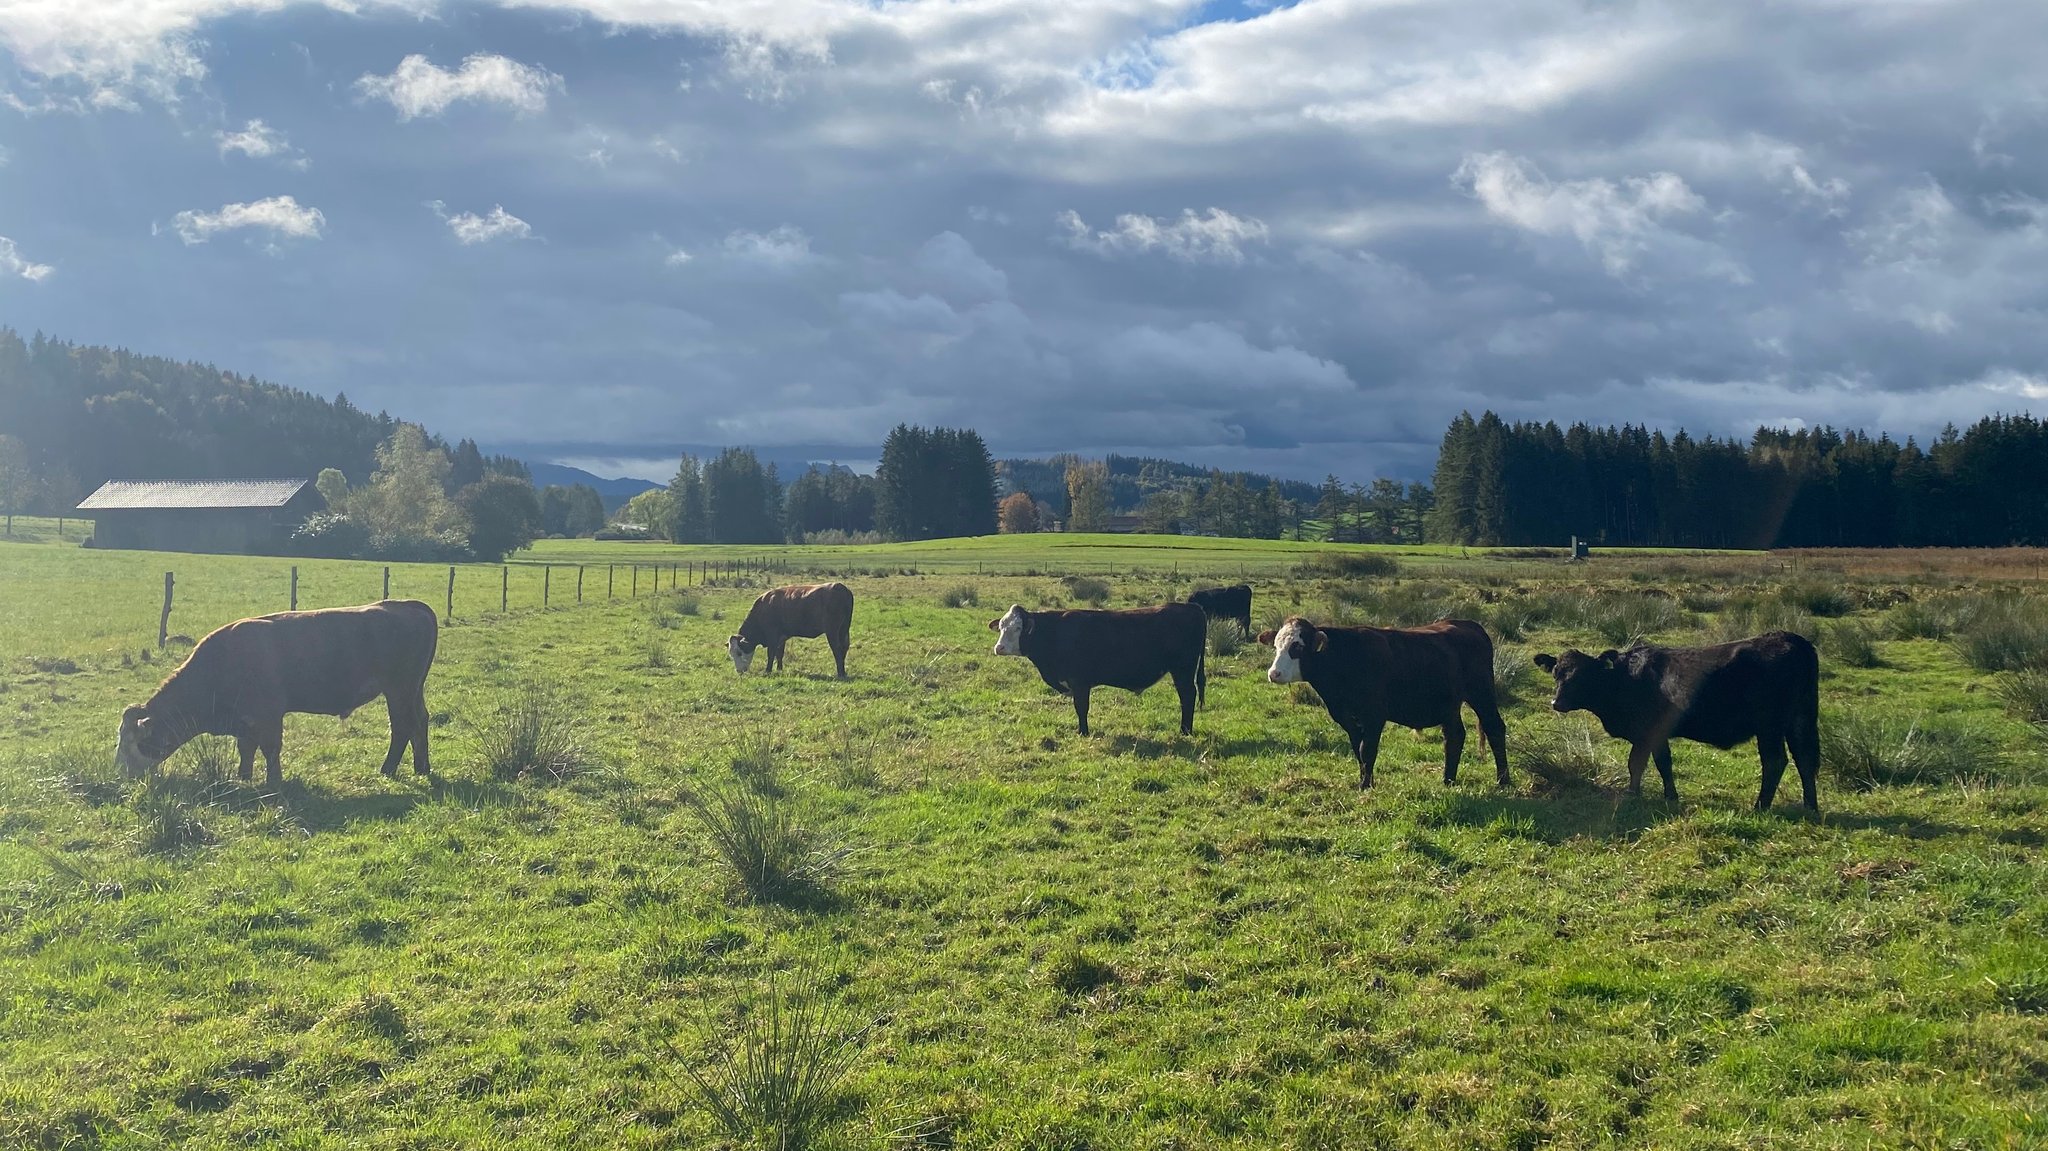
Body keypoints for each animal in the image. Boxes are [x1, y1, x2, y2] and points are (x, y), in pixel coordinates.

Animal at [117, 593, 440, 782]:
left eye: (130, 741)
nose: (120, 772)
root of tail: (409, 606)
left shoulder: (269, 714)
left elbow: (270, 748)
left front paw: (274, 782)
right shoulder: (246, 720)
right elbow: (246, 747)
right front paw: (244, 776)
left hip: (398, 690)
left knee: (403, 725)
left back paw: (388, 769)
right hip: (413, 691)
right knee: (420, 721)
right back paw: (422, 766)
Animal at [987, 602, 1204, 733]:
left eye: (1018, 628)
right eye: (1002, 627)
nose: (999, 648)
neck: (1054, 633)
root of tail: (1190, 606)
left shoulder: (1079, 682)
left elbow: (1081, 708)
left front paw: (1083, 732)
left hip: (1183, 670)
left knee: (1187, 696)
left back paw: (1185, 731)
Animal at [1245, 618, 1507, 786]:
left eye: (1297, 646)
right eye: (1276, 646)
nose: (1274, 673)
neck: (1345, 658)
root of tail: (1470, 625)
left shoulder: (1374, 715)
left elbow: (1367, 749)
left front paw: (1366, 787)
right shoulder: (1346, 718)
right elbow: (1358, 750)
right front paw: (1364, 781)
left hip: (1481, 693)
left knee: (1494, 728)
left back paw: (1503, 780)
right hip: (1448, 705)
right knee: (1454, 736)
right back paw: (1448, 780)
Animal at [1540, 630, 1826, 811]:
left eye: (1581, 676)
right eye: (1556, 674)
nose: (1557, 703)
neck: (1623, 679)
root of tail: (1788, 637)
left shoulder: (1648, 732)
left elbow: (1642, 764)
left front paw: (1640, 795)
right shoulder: (1653, 735)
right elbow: (1656, 764)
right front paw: (1662, 796)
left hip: (1770, 726)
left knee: (1775, 761)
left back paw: (1760, 806)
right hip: (1800, 720)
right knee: (1805, 759)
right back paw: (1810, 807)